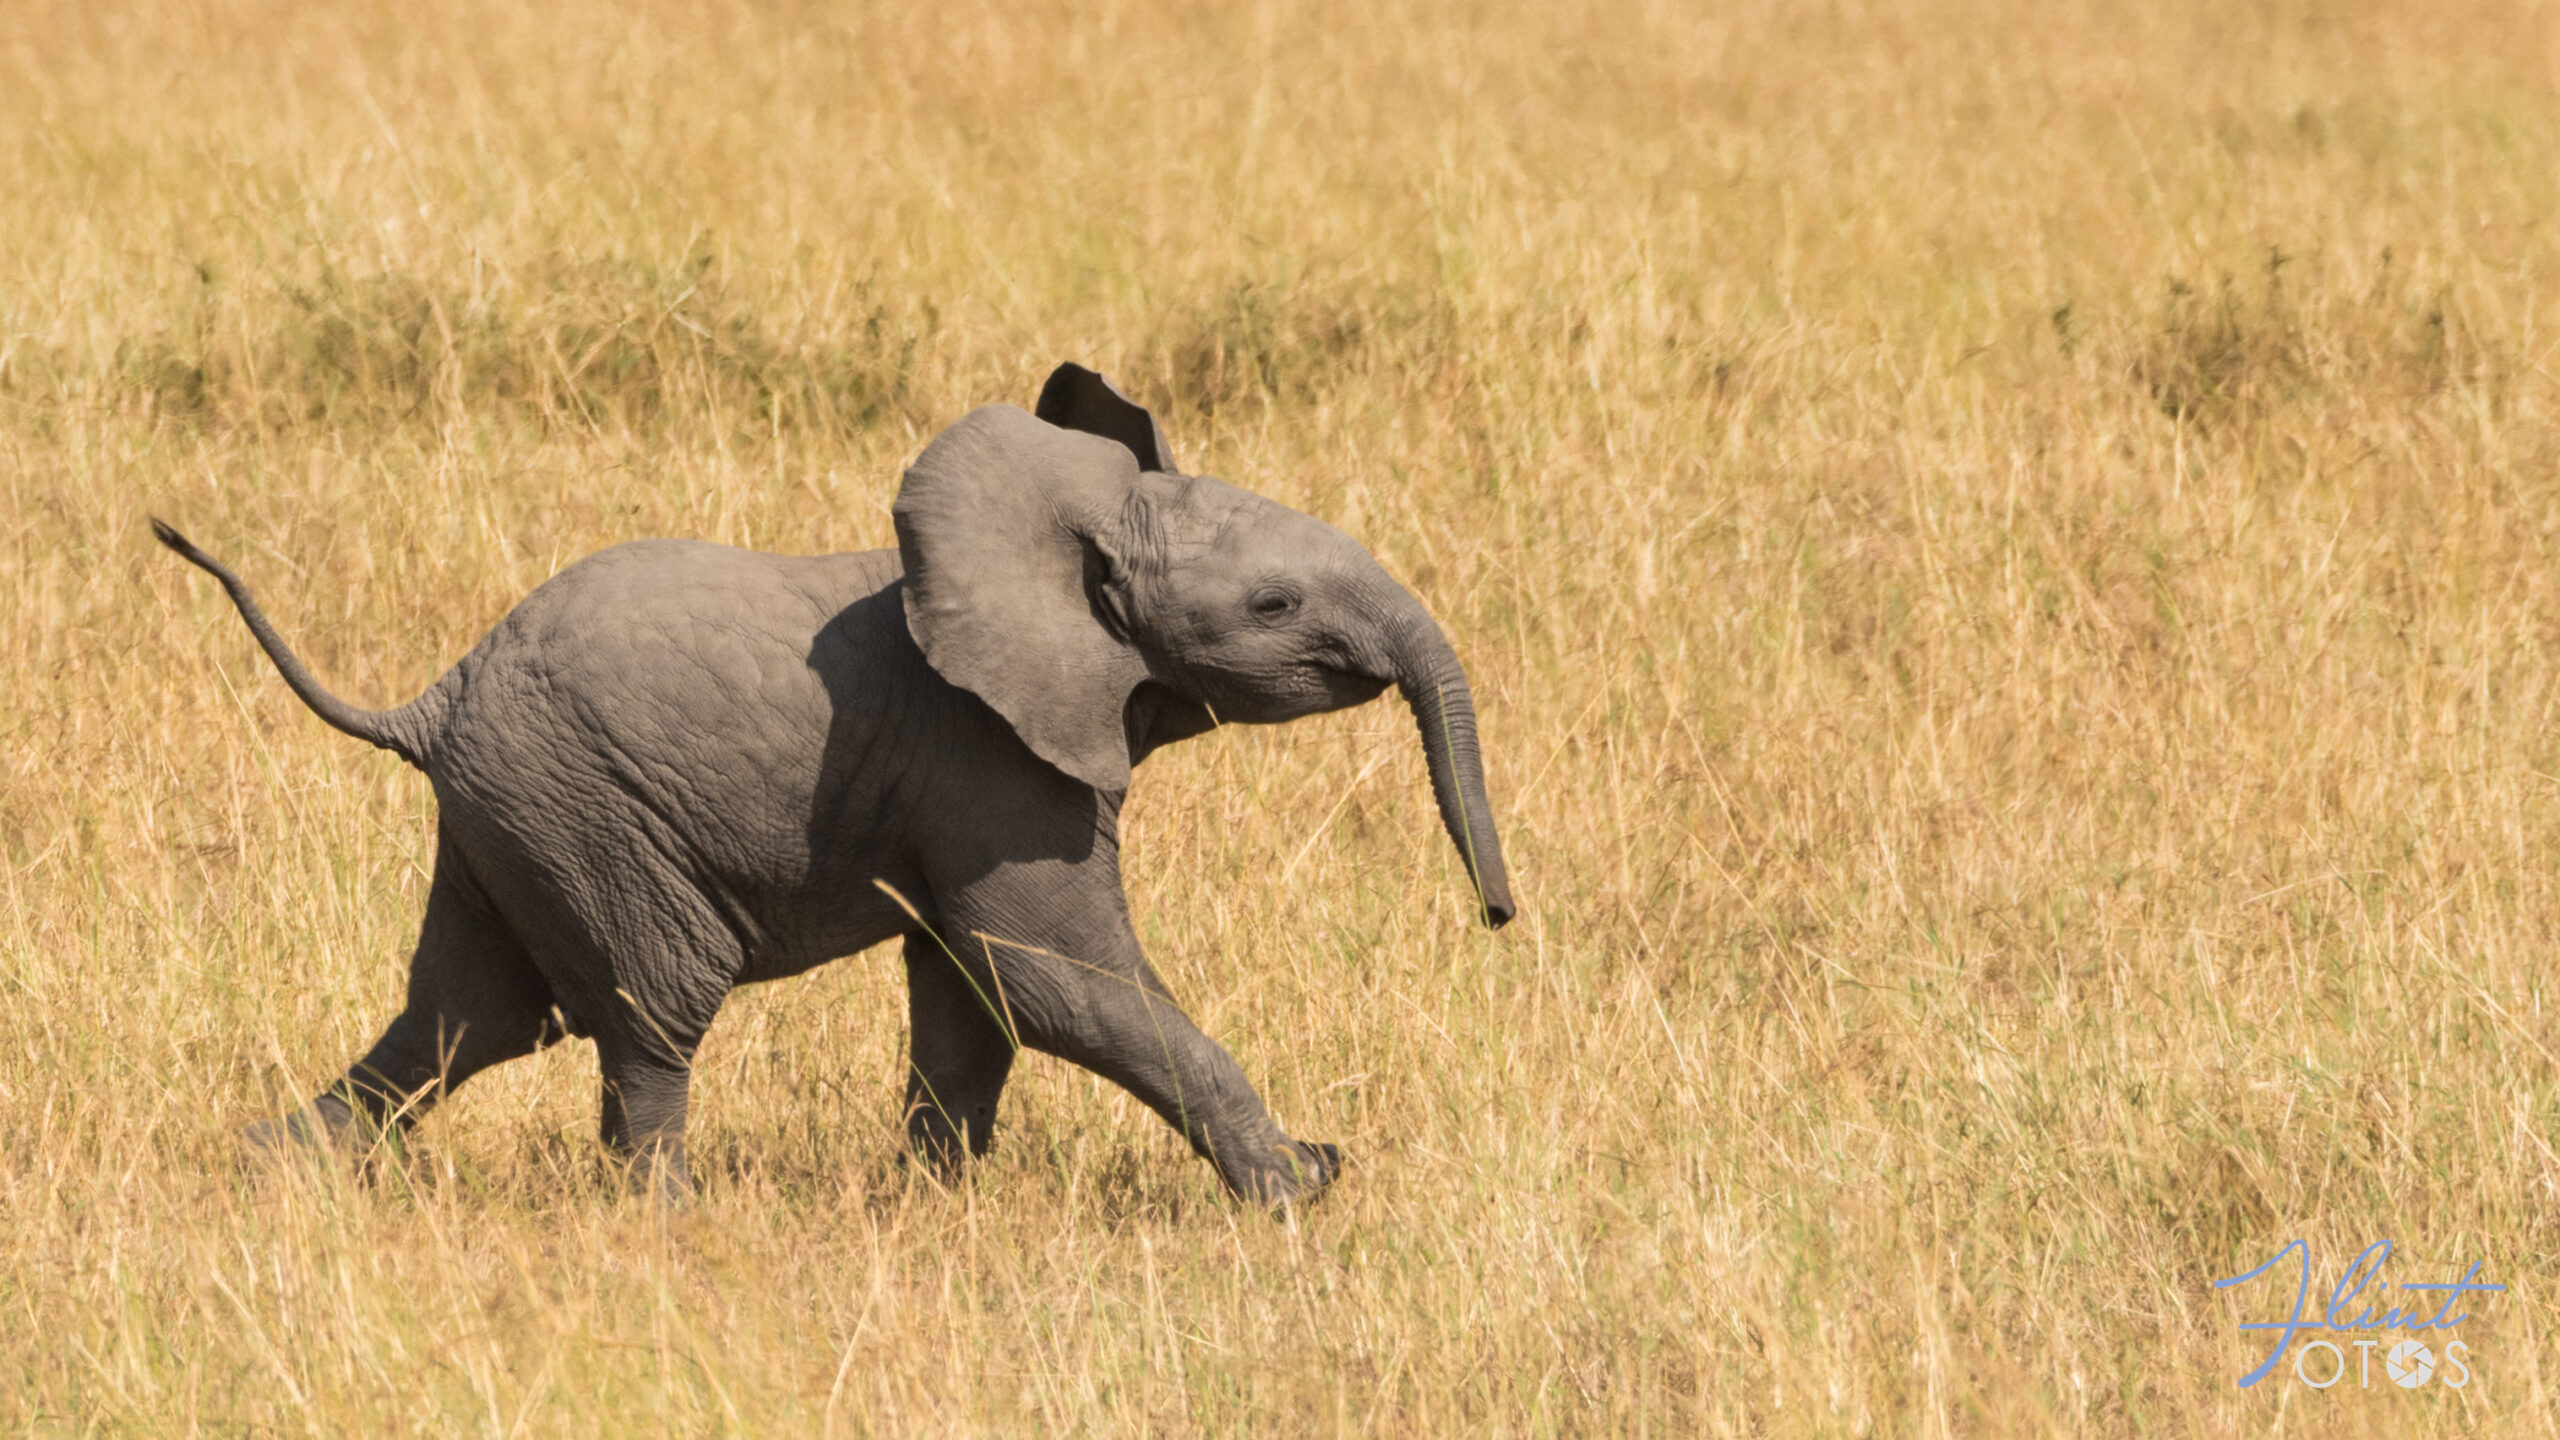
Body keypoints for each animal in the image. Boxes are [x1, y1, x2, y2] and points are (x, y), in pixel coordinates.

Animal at [155, 362, 1515, 1207]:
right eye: (1274, 605)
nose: (1497, 918)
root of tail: (434, 698)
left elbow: (972, 994)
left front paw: (930, 1208)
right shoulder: (989, 754)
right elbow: (1051, 979)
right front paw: (1301, 1189)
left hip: (511, 820)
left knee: (467, 1015)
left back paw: (272, 1171)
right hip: (592, 817)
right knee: (648, 1010)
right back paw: (667, 1224)